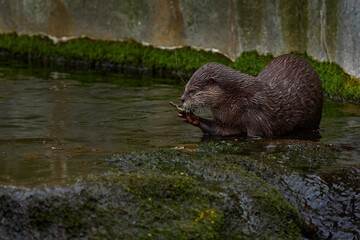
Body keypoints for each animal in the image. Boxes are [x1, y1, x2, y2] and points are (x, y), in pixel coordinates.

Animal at [180, 54, 324, 137]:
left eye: (192, 90)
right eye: (185, 87)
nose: (182, 99)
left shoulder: (257, 115)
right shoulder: (226, 122)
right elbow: (219, 130)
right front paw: (192, 118)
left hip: (314, 115)